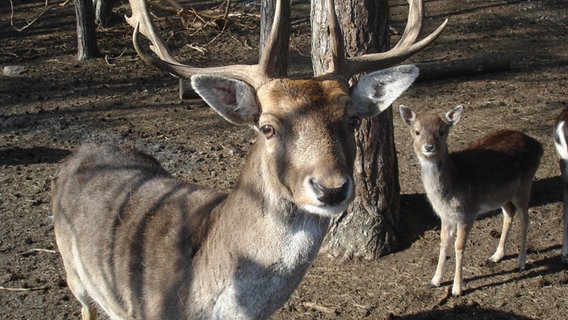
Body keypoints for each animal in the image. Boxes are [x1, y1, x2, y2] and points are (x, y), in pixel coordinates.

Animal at [398, 105, 544, 298]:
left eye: (442, 131)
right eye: (417, 131)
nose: (429, 147)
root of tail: (539, 145)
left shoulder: (468, 212)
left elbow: (459, 246)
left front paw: (456, 289)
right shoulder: (445, 216)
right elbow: (443, 241)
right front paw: (434, 281)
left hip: (524, 187)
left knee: (526, 219)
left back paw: (521, 263)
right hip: (503, 195)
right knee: (509, 213)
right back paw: (497, 255)